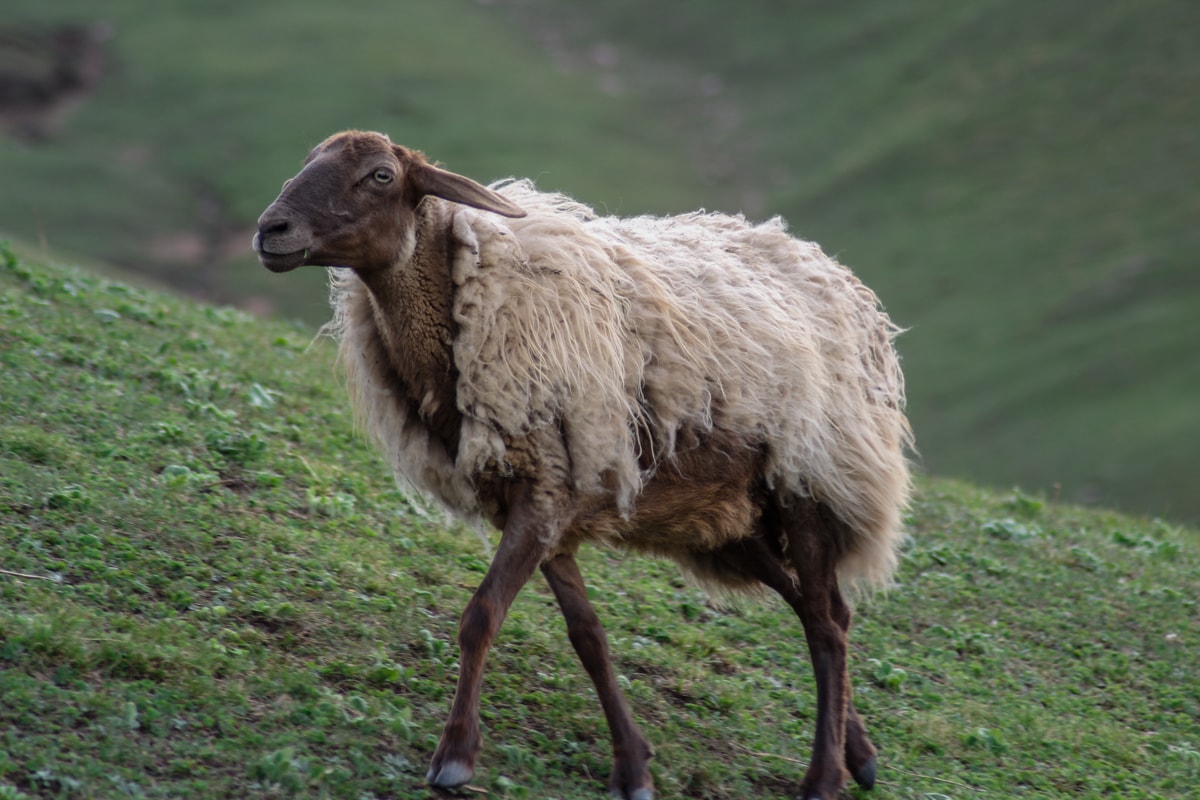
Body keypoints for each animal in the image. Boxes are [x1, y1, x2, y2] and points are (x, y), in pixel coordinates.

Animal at [250, 131, 907, 800]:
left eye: (381, 175)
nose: (270, 229)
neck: (472, 299)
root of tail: (832, 273)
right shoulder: (542, 510)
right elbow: (588, 636)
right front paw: (632, 765)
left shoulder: (545, 493)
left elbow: (480, 614)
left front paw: (455, 755)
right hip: (733, 520)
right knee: (818, 609)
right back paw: (859, 754)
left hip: (807, 479)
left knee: (826, 622)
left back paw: (824, 775)